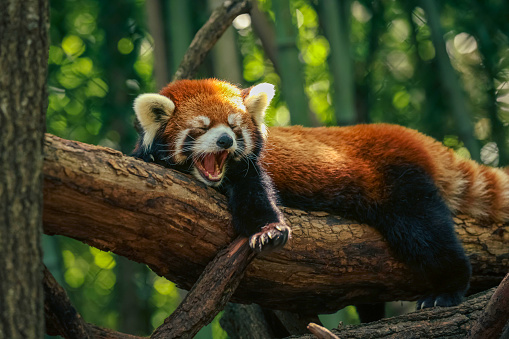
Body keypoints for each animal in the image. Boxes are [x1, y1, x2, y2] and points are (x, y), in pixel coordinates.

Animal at [132, 79, 508, 310]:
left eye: (235, 128)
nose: (225, 141)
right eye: (202, 128)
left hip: (398, 181)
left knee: (426, 232)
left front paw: (268, 231)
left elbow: (257, 200)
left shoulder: (250, 169)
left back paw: (447, 289)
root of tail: (413, 137)